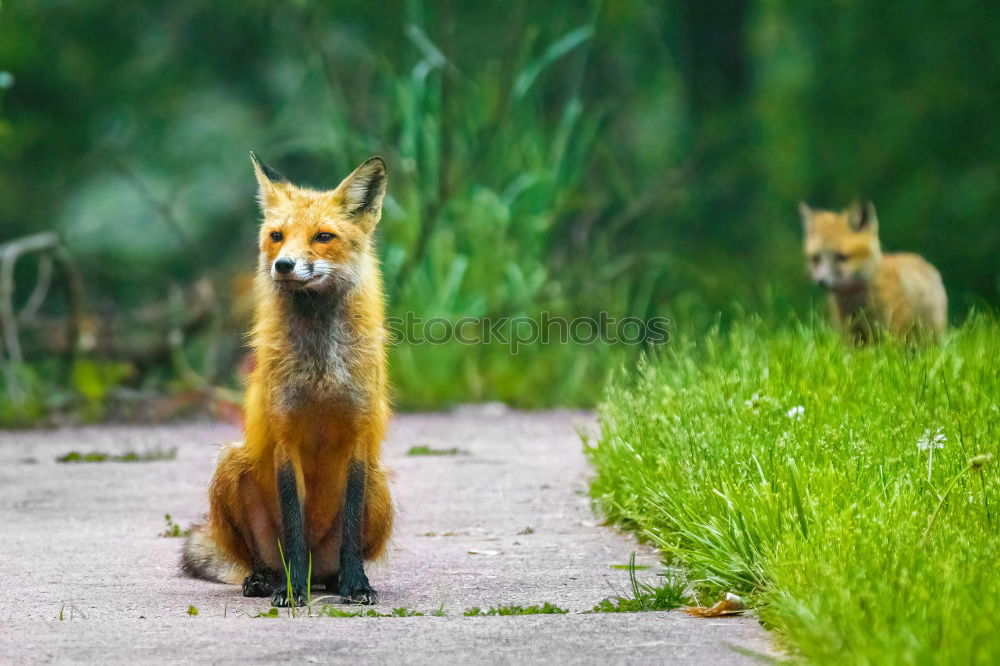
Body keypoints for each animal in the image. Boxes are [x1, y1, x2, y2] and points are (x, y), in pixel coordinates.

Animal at [182, 153, 392, 604]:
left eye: (323, 237)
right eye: (277, 236)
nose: (284, 265)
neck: (320, 373)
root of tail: (319, 569)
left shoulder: (359, 437)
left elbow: (351, 529)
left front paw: (356, 584)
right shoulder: (285, 438)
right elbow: (294, 527)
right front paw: (294, 593)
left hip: (381, 487)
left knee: (336, 559)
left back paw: (334, 580)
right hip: (230, 465)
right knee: (264, 559)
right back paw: (272, 580)